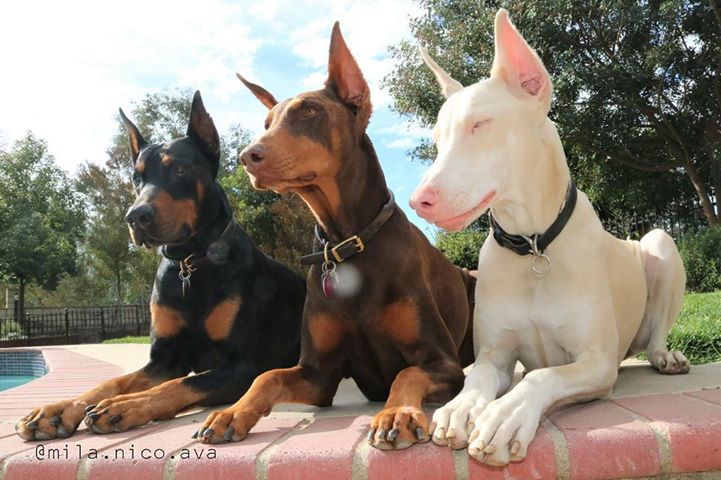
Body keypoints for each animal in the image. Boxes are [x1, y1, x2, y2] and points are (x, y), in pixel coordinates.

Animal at [410, 8, 688, 468]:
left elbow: (541, 375)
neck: (533, 246)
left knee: (656, 333)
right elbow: (480, 375)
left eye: (480, 124)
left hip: (660, 242)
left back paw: (666, 355)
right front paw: (461, 408)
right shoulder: (496, 356)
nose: (418, 201)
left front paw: (504, 417)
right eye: (437, 140)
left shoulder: (597, 362)